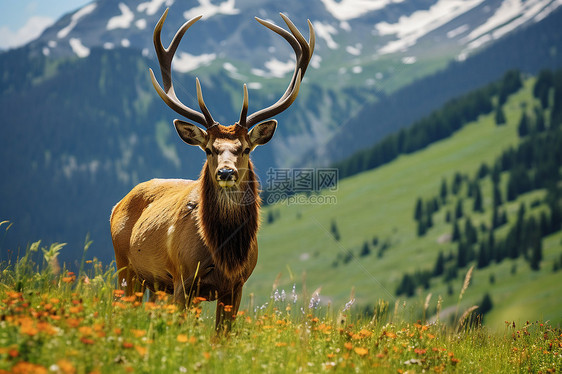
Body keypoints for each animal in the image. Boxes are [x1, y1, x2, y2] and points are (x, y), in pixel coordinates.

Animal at [107, 8, 312, 330]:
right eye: (208, 149)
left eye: (245, 148)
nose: (226, 173)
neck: (224, 256)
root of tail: (117, 204)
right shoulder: (183, 279)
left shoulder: (236, 286)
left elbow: (221, 336)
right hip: (125, 267)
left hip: (154, 284)